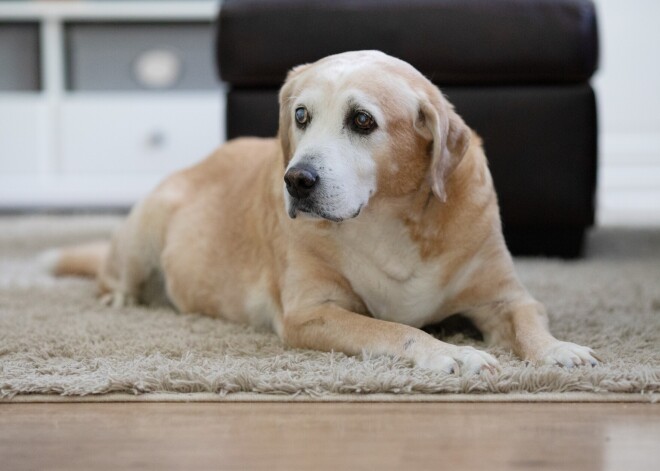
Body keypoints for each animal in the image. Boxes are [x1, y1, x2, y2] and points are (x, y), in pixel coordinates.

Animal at [50, 50, 600, 376]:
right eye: (301, 115)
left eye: (362, 121)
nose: (296, 180)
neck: (385, 220)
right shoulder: (311, 312)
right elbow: (396, 330)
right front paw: (451, 351)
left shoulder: (504, 296)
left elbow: (529, 319)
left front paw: (558, 349)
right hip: (146, 225)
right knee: (114, 276)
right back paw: (121, 297)